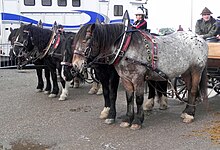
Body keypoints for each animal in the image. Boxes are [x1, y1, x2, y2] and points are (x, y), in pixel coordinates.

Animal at [72, 11, 208, 130]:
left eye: (85, 40)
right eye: (74, 42)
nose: (75, 65)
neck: (125, 47)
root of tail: (201, 39)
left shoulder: (138, 78)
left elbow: (138, 99)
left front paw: (137, 121)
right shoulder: (125, 78)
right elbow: (129, 98)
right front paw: (127, 119)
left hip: (196, 69)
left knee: (193, 90)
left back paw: (190, 114)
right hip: (186, 72)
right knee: (189, 89)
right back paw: (186, 111)